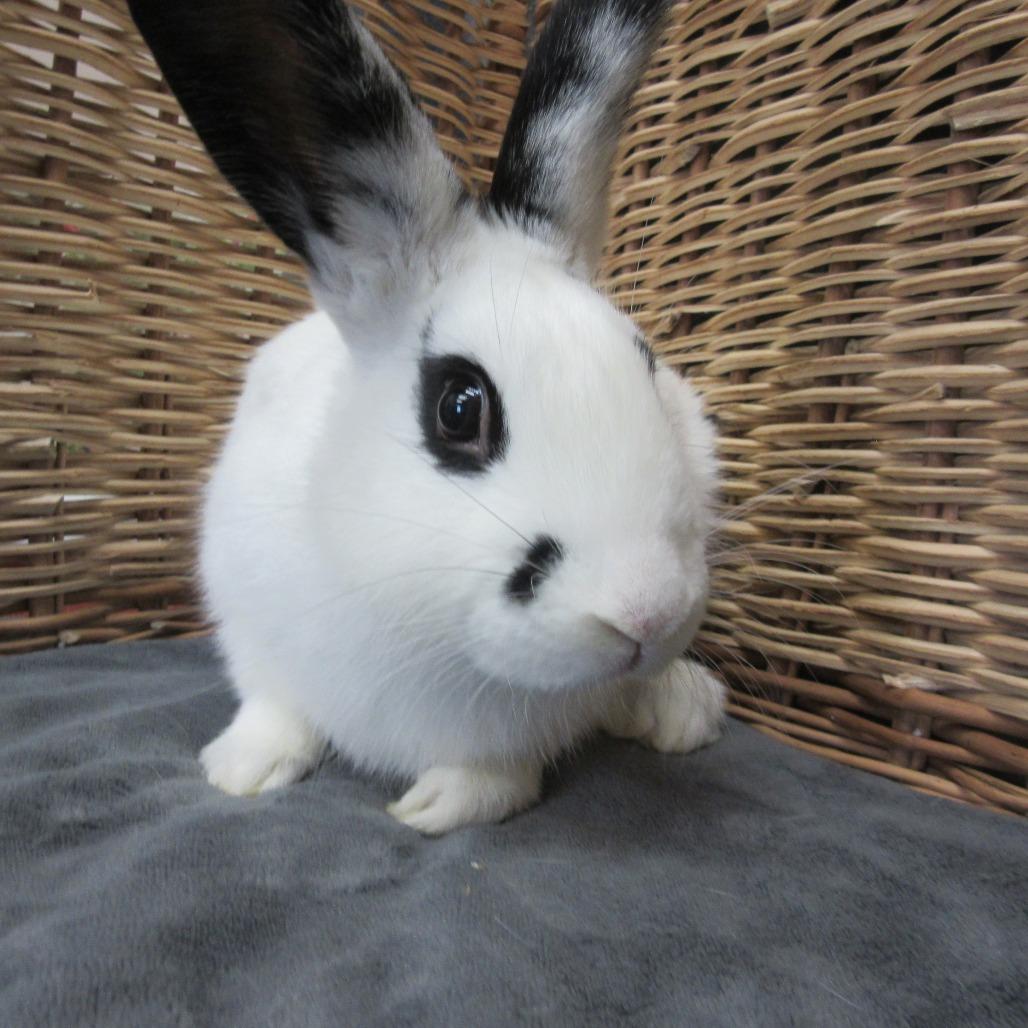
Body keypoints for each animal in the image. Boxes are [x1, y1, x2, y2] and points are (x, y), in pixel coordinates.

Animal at [128, 0, 726, 834]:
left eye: (648, 362)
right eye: (459, 407)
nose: (648, 613)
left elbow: (494, 779)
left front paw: (434, 809)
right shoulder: (246, 615)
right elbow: (273, 704)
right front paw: (240, 771)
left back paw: (681, 710)